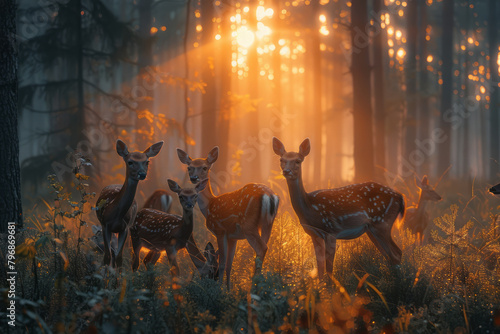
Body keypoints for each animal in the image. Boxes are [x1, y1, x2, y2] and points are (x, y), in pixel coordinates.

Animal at [94, 140, 163, 268]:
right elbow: (107, 256)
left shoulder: (125, 228)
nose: (142, 174)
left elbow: (119, 258)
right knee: (110, 254)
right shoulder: (105, 225)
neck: (115, 214)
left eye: (147, 162)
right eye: (130, 162)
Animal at [177, 146, 280, 288]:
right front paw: (228, 289)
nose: (194, 178)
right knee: (264, 247)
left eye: (204, 167)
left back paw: (254, 287)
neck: (209, 206)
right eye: (189, 167)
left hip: (249, 226)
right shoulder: (233, 237)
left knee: (262, 248)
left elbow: (221, 264)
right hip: (268, 224)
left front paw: (219, 289)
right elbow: (229, 265)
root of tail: (270, 196)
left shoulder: (220, 230)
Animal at [272, 137, 404, 278]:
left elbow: (329, 269)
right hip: (372, 229)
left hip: (382, 223)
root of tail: (399, 196)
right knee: (389, 256)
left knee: (396, 253)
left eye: (298, 160)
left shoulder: (331, 230)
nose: (286, 171)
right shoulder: (314, 234)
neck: (309, 208)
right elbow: (320, 269)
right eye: (281, 160)